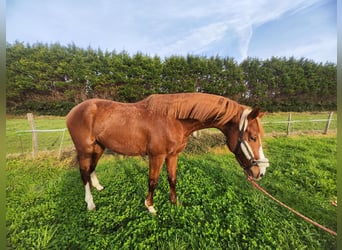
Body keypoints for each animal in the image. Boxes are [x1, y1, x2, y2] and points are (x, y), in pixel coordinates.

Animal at [67, 93, 268, 214]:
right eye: (252, 137)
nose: (261, 172)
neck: (174, 119)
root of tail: (73, 111)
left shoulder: (173, 155)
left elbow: (172, 178)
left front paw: (174, 202)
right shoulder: (157, 156)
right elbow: (153, 181)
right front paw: (150, 207)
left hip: (98, 147)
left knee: (91, 169)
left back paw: (98, 187)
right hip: (85, 150)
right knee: (84, 173)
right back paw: (90, 203)